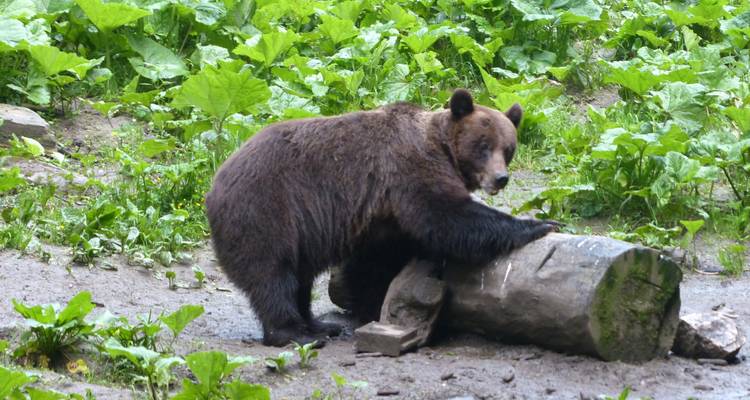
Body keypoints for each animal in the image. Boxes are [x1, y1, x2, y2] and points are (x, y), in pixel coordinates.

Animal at [205, 89, 559, 347]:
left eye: (508, 148)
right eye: (483, 146)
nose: (500, 178)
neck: (443, 148)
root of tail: (214, 184)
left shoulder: (382, 216)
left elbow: (376, 263)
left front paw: (372, 302)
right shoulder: (409, 168)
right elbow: (447, 215)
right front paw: (539, 224)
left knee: (299, 279)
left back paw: (319, 324)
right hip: (267, 211)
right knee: (273, 276)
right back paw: (295, 332)